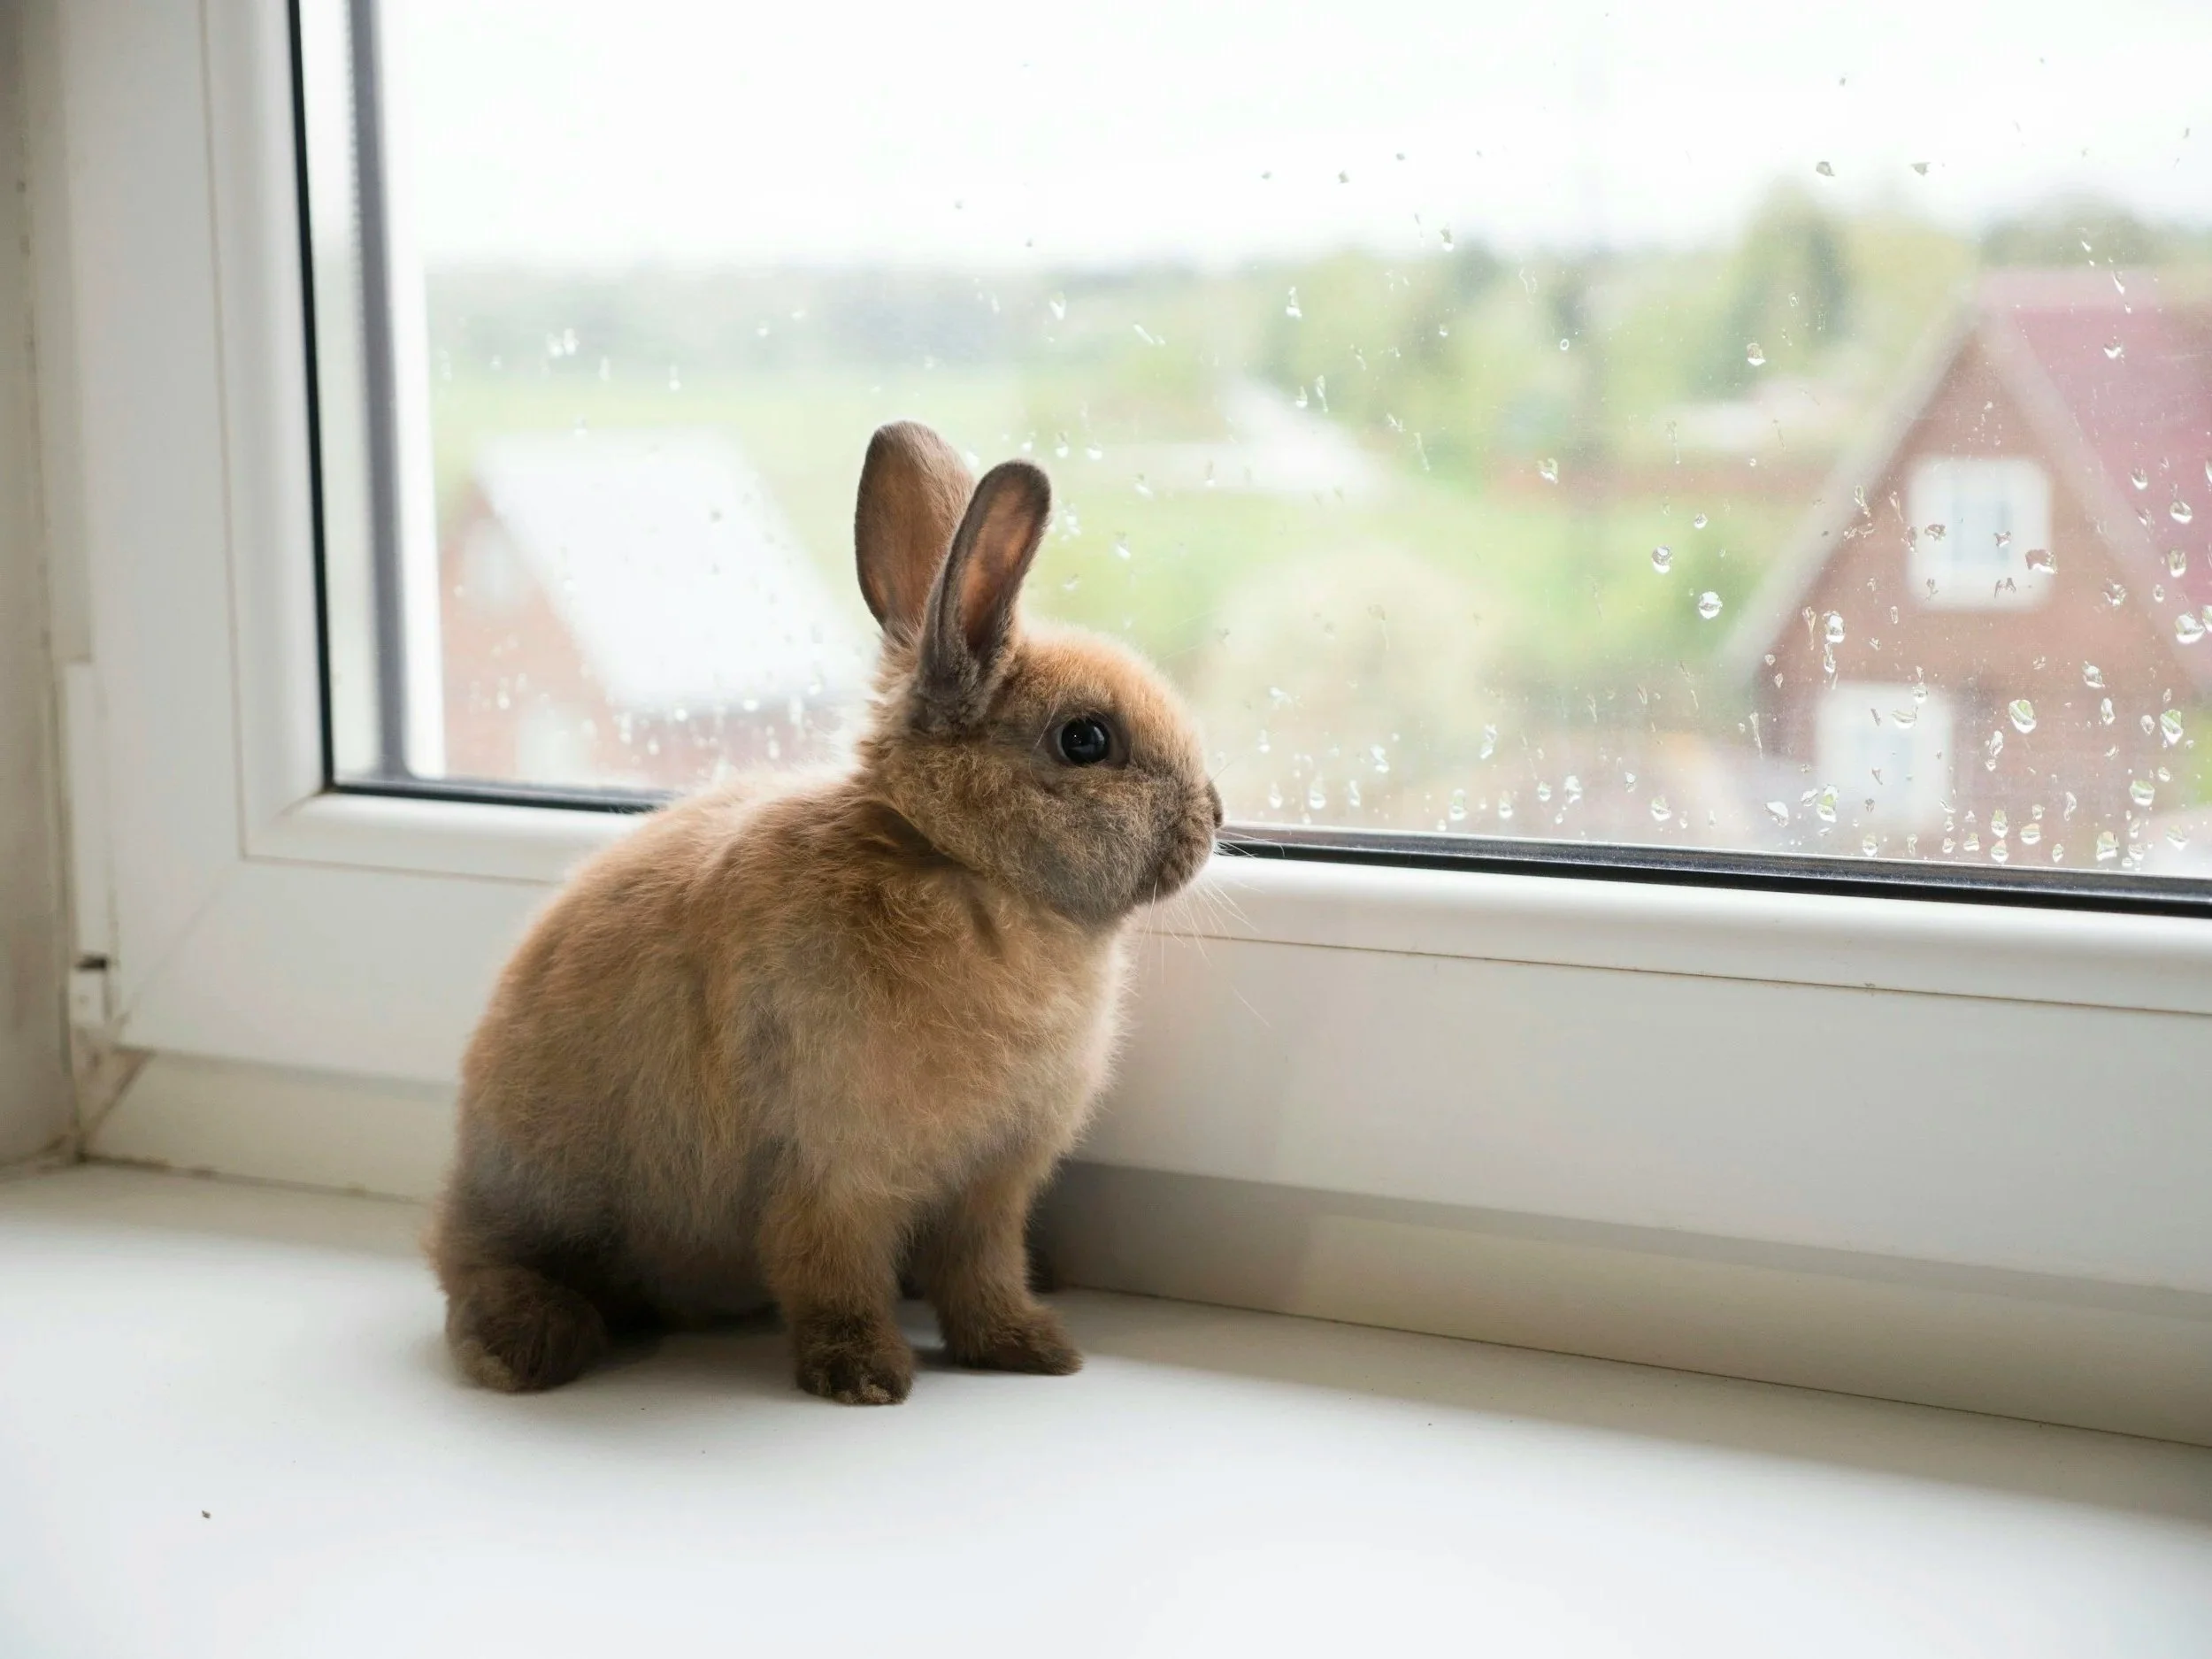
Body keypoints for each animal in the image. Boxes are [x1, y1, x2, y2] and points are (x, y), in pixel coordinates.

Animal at [428, 421, 1222, 1405]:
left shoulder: (990, 1188)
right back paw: (527, 1346)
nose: (1215, 815)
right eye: (1085, 739)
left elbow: (983, 1273)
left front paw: (1031, 1349)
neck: (959, 866)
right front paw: (865, 1376)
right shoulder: (832, 1173)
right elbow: (829, 1272)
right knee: (474, 1269)